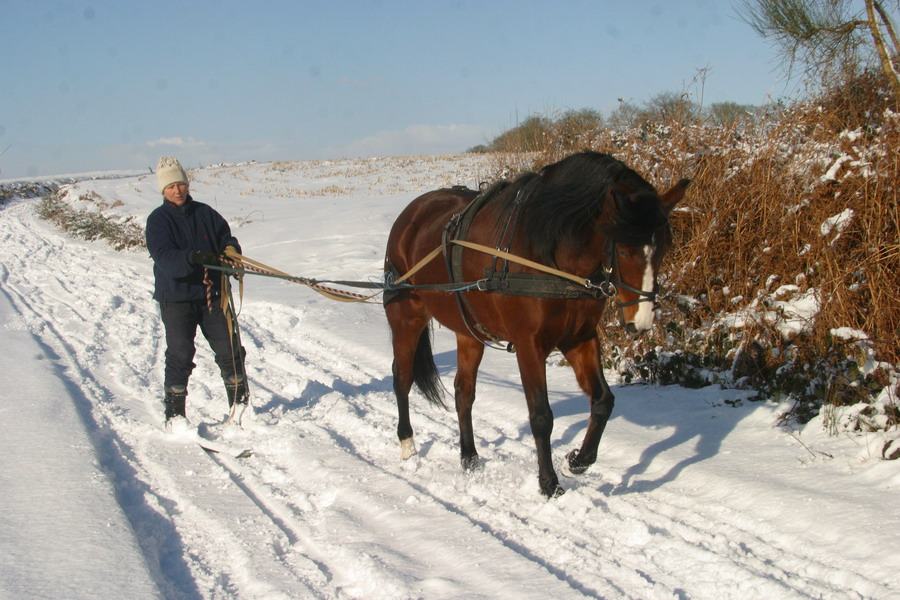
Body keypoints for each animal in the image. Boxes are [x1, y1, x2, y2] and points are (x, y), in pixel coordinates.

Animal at [383, 151, 689, 497]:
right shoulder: (529, 345)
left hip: (469, 331)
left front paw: (579, 460)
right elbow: (541, 415)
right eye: (623, 249)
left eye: (664, 246)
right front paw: (549, 483)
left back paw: (470, 457)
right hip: (406, 317)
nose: (642, 321)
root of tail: (411, 214)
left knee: (464, 392)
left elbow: (602, 401)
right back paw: (408, 444)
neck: (550, 257)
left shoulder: (579, 338)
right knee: (402, 378)